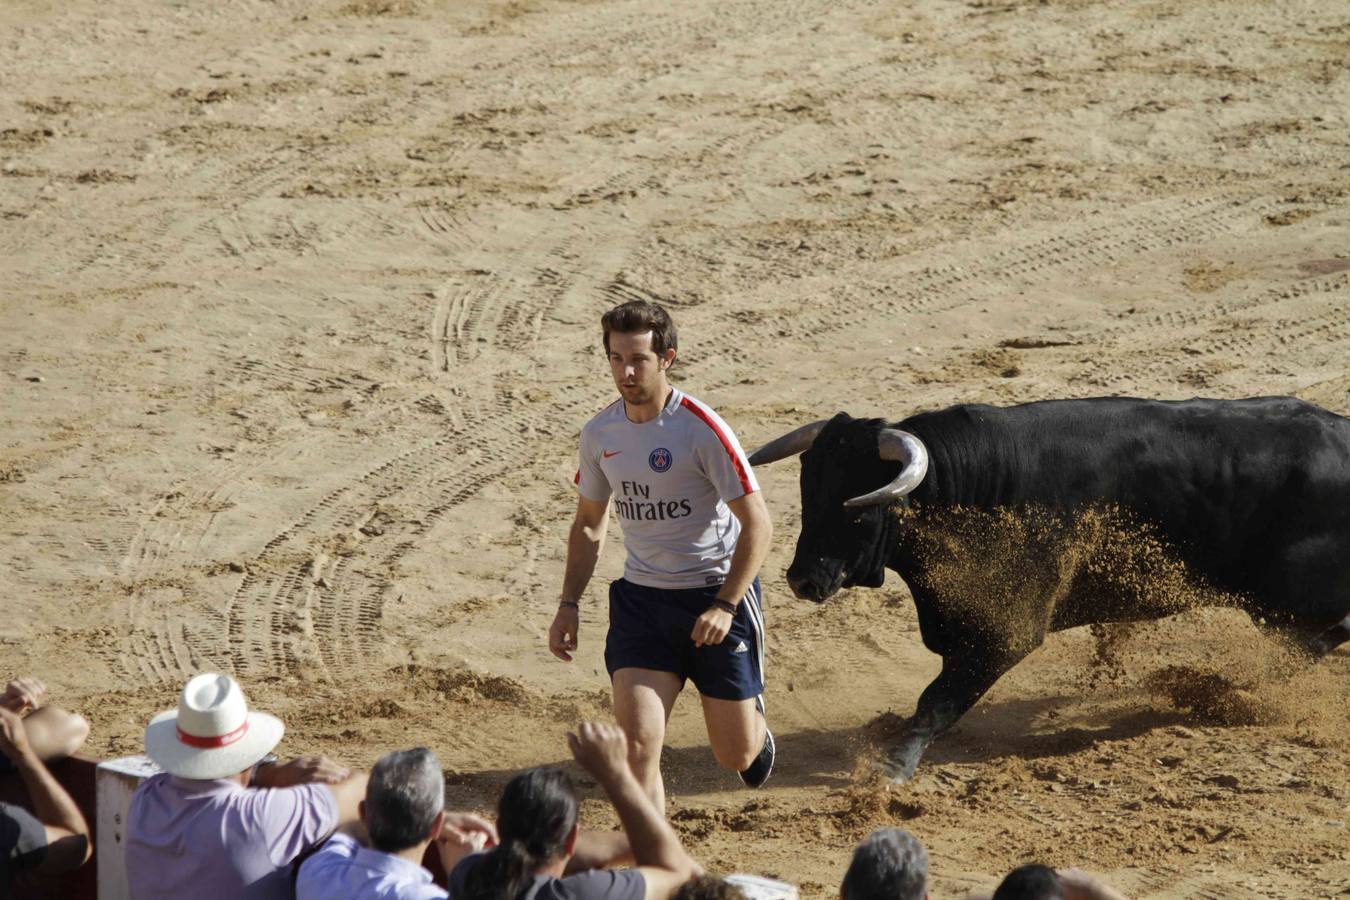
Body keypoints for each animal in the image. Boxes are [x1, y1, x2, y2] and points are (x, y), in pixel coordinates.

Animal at [750, 396, 1350, 782]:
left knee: (1317, 638)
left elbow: (937, 701)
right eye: (808, 493)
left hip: (1287, 603)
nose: (804, 580)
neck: (969, 487)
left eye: (859, 508)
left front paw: (893, 766)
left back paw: (1220, 690)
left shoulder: (1004, 631)